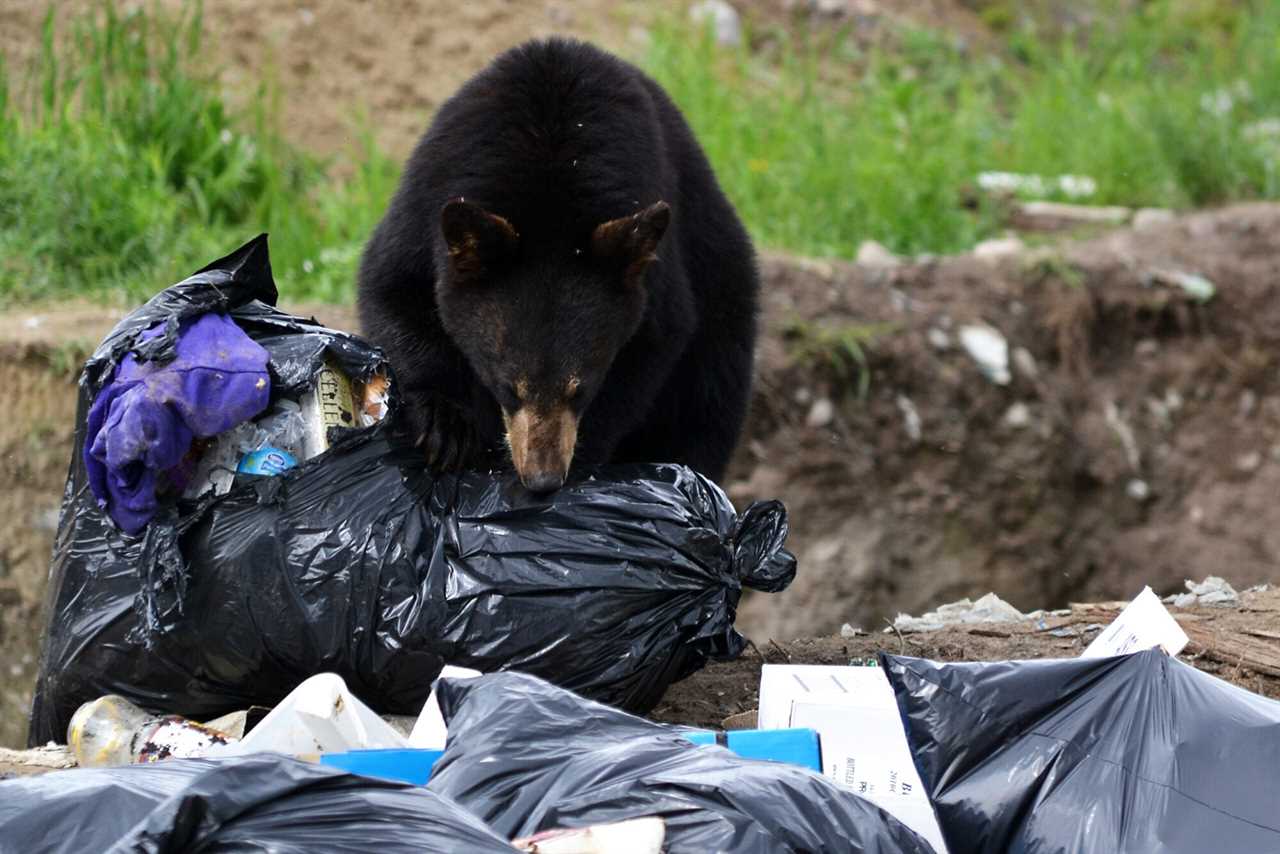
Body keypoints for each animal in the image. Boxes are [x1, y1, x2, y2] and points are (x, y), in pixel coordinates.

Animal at [358, 38, 757, 494]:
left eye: (579, 391)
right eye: (508, 389)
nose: (543, 478)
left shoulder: (654, 274)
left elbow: (652, 343)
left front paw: (584, 458)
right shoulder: (428, 195)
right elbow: (393, 289)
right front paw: (446, 427)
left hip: (721, 320)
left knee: (702, 412)